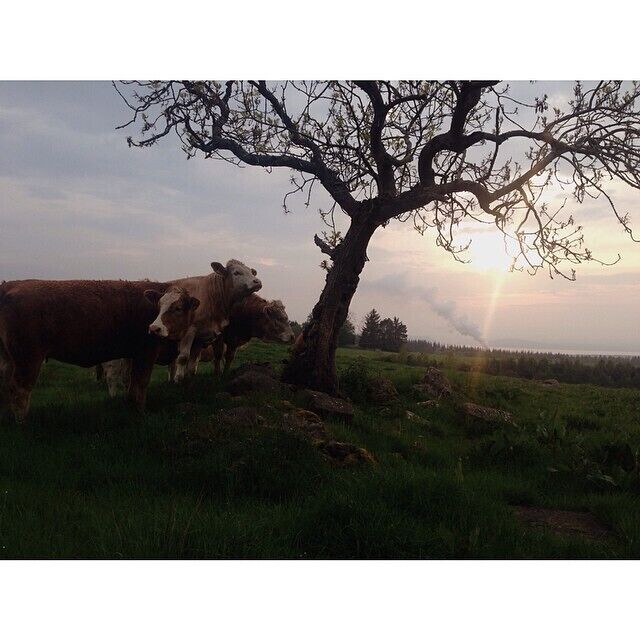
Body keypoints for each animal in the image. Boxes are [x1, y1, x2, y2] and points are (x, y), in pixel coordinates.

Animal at [0, 279, 197, 421]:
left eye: (178, 308)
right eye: (159, 307)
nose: (154, 328)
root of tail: (10, 285)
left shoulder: (131, 355)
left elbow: (130, 382)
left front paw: (130, 405)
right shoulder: (146, 353)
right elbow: (140, 382)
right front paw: (141, 412)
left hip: (8, 359)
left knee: (5, 385)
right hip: (28, 359)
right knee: (19, 389)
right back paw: (21, 423)